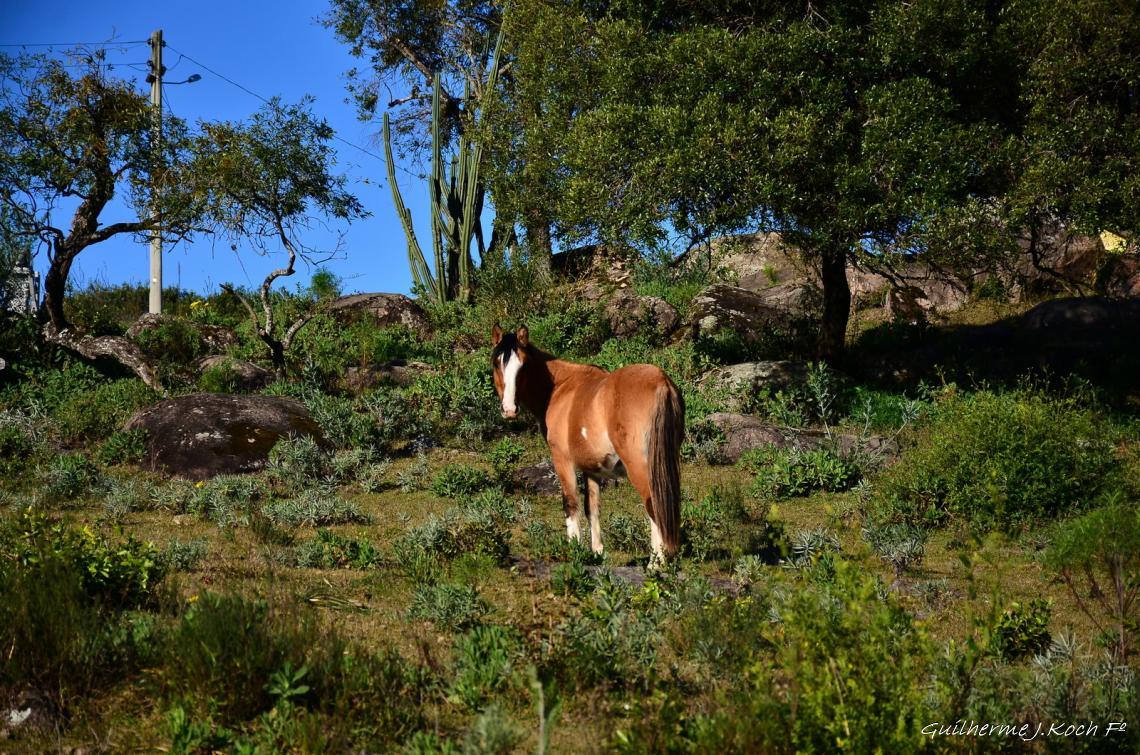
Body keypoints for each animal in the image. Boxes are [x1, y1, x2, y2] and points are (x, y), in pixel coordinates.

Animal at [491, 325, 685, 561]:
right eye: (497, 363)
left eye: (524, 365)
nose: (509, 409)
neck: (560, 387)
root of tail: (660, 381)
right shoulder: (591, 469)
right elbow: (591, 507)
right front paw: (597, 552)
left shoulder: (562, 461)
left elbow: (570, 503)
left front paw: (574, 550)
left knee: (654, 506)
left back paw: (656, 564)